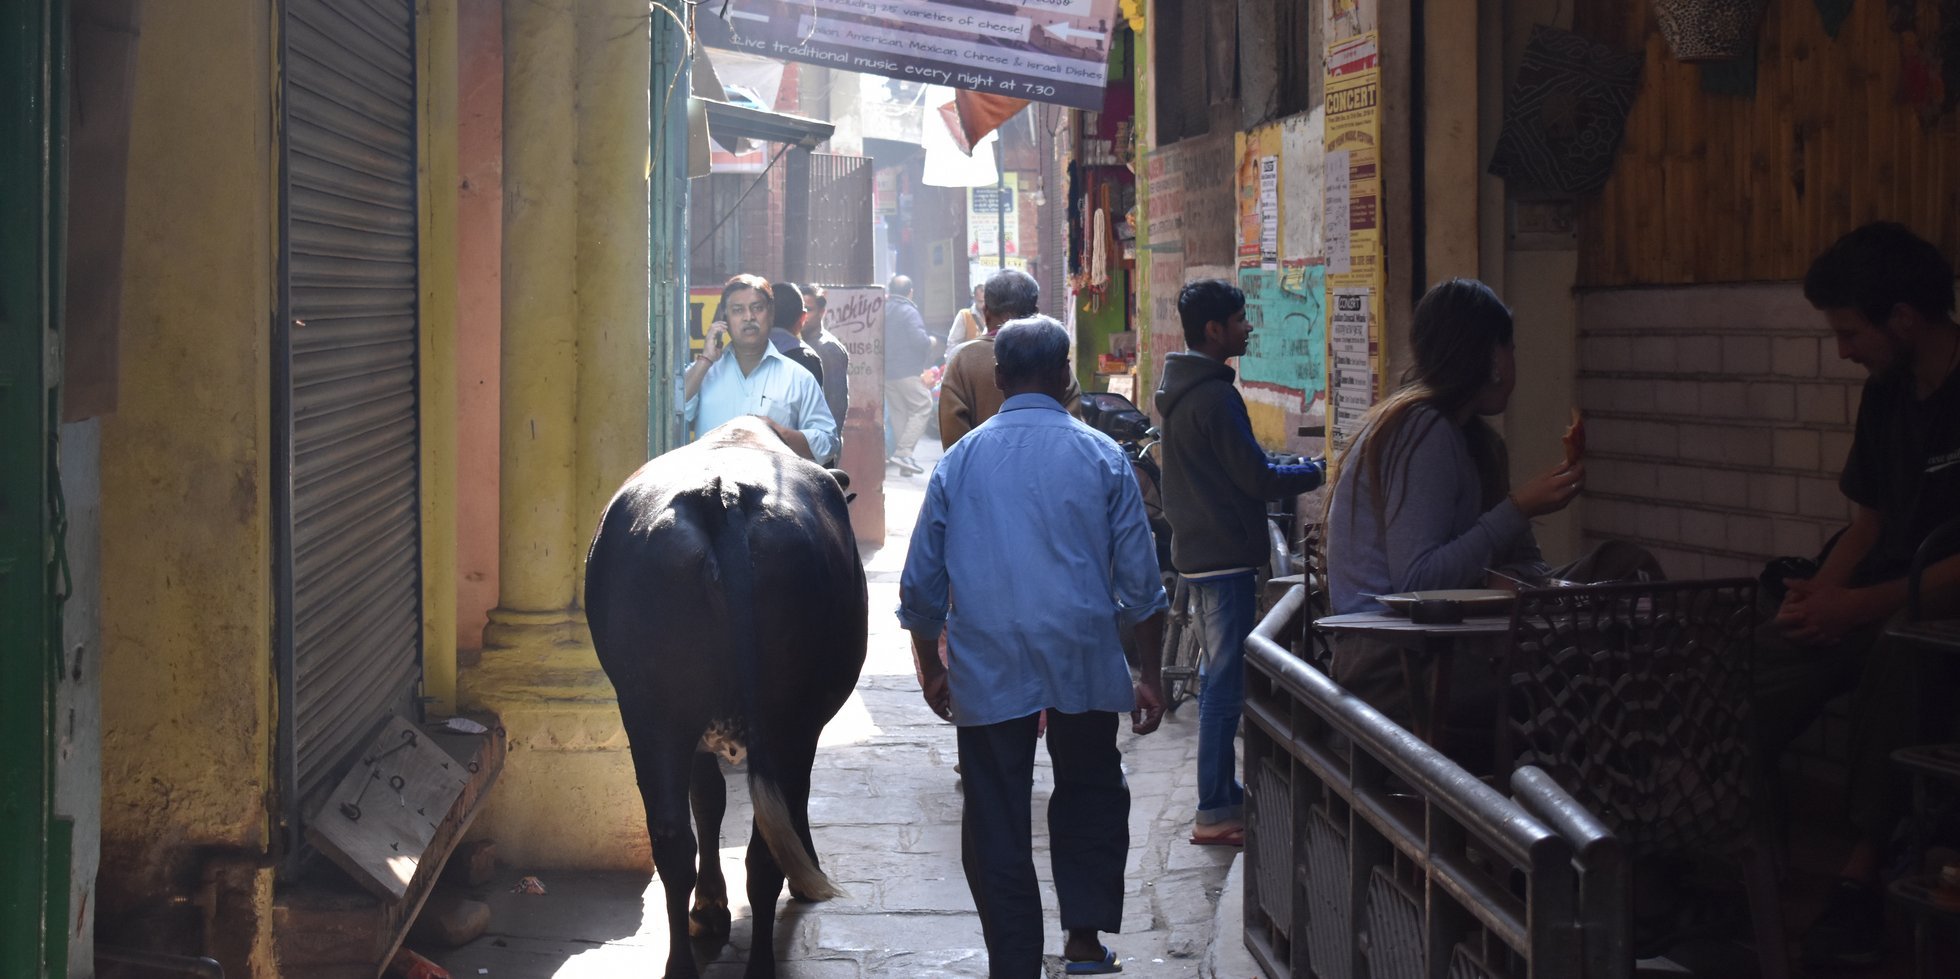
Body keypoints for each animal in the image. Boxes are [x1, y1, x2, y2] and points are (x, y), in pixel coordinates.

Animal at [584, 415, 870, 979]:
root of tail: (723, 493)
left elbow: (709, 801)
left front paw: (710, 907)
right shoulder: (803, 729)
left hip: (653, 714)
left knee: (673, 840)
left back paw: (680, 962)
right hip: (784, 722)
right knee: (763, 850)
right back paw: (760, 962)